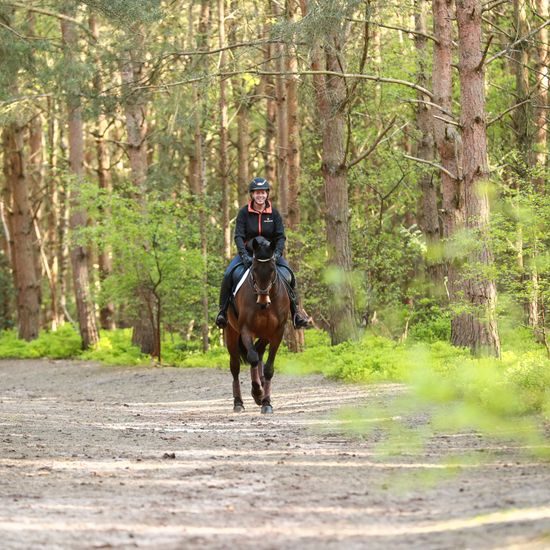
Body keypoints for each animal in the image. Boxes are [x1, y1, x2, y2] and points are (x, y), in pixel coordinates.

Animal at [224, 236, 294, 414]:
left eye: (272, 269)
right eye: (254, 269)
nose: (263, 301)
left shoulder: (277, 333)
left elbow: (268, 367)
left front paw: (266, 402)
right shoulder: (245, 330)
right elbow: (253, 358)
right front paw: (257, 392)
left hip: (265, 334)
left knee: (259, 351)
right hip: (231, 333)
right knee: (236, 365)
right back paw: (239, 403)